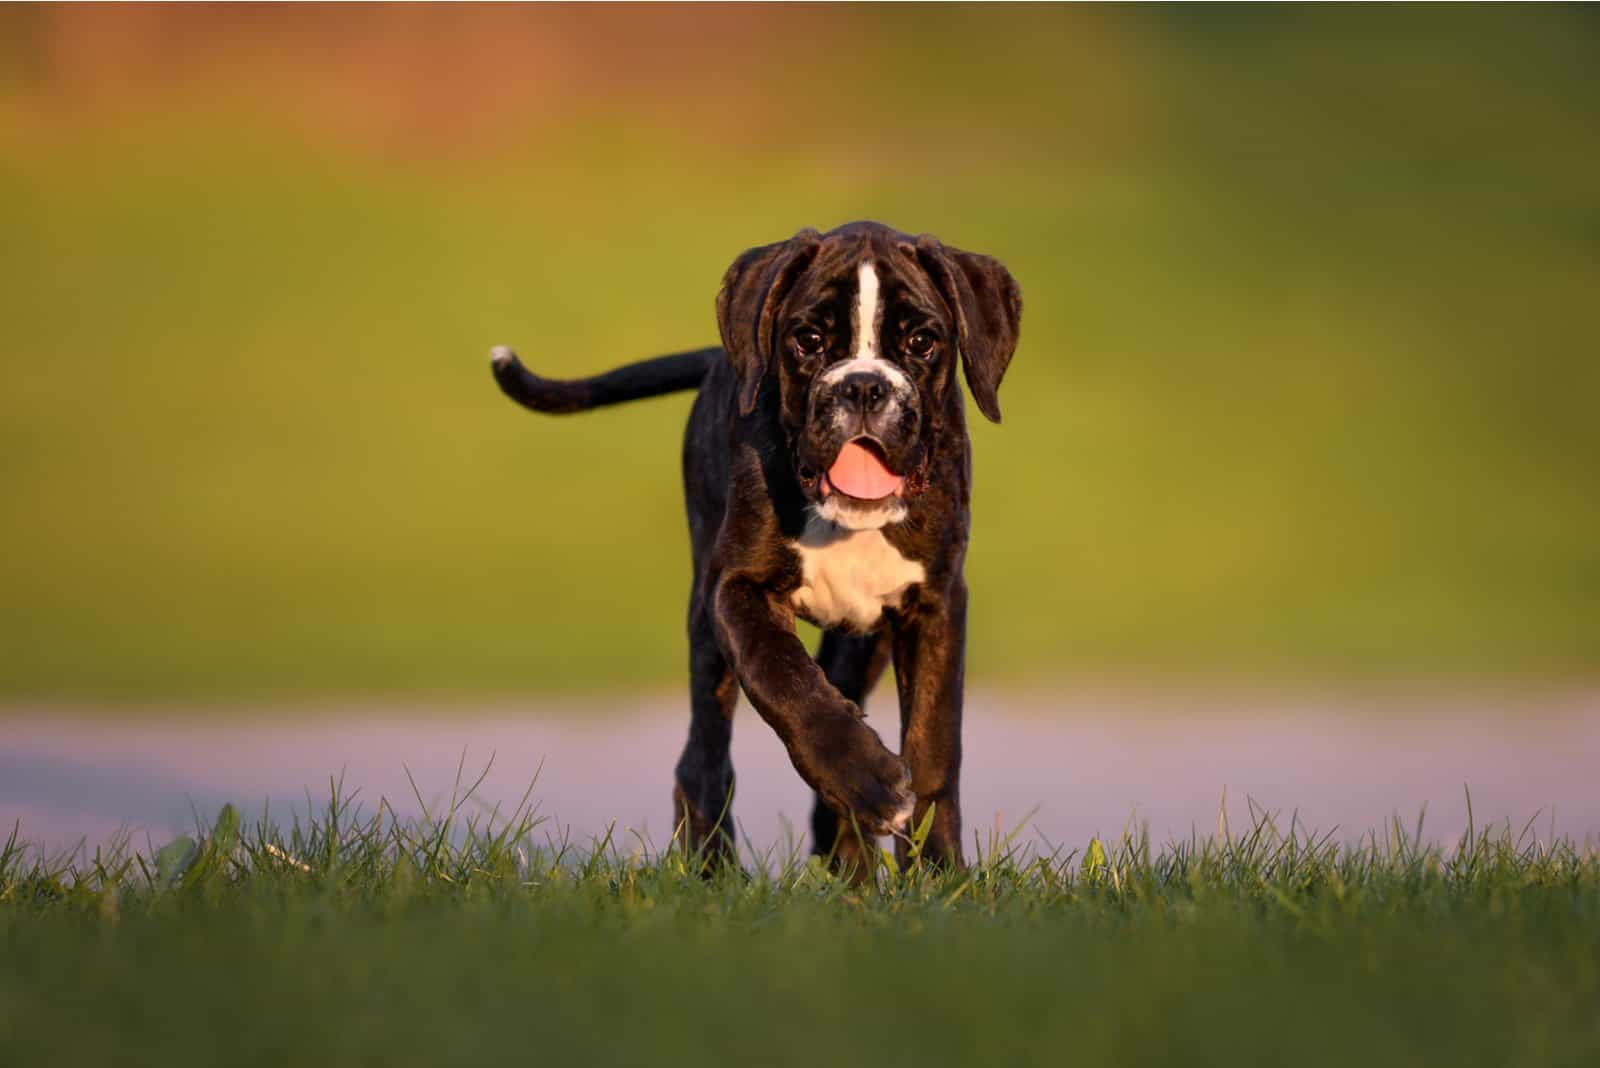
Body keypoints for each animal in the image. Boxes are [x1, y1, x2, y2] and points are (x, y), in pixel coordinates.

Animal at [486, 219, 1024, 876]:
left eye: (922, 342)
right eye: (808, 339)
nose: (863, 387)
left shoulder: (935, 603)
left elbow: (934, 743)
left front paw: (938, 871)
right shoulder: (735, 587)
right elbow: (781, 675)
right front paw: (866, 778)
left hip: (863, 641)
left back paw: (850, 868)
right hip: (704, 625)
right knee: (703, 757)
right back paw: (713, 867)